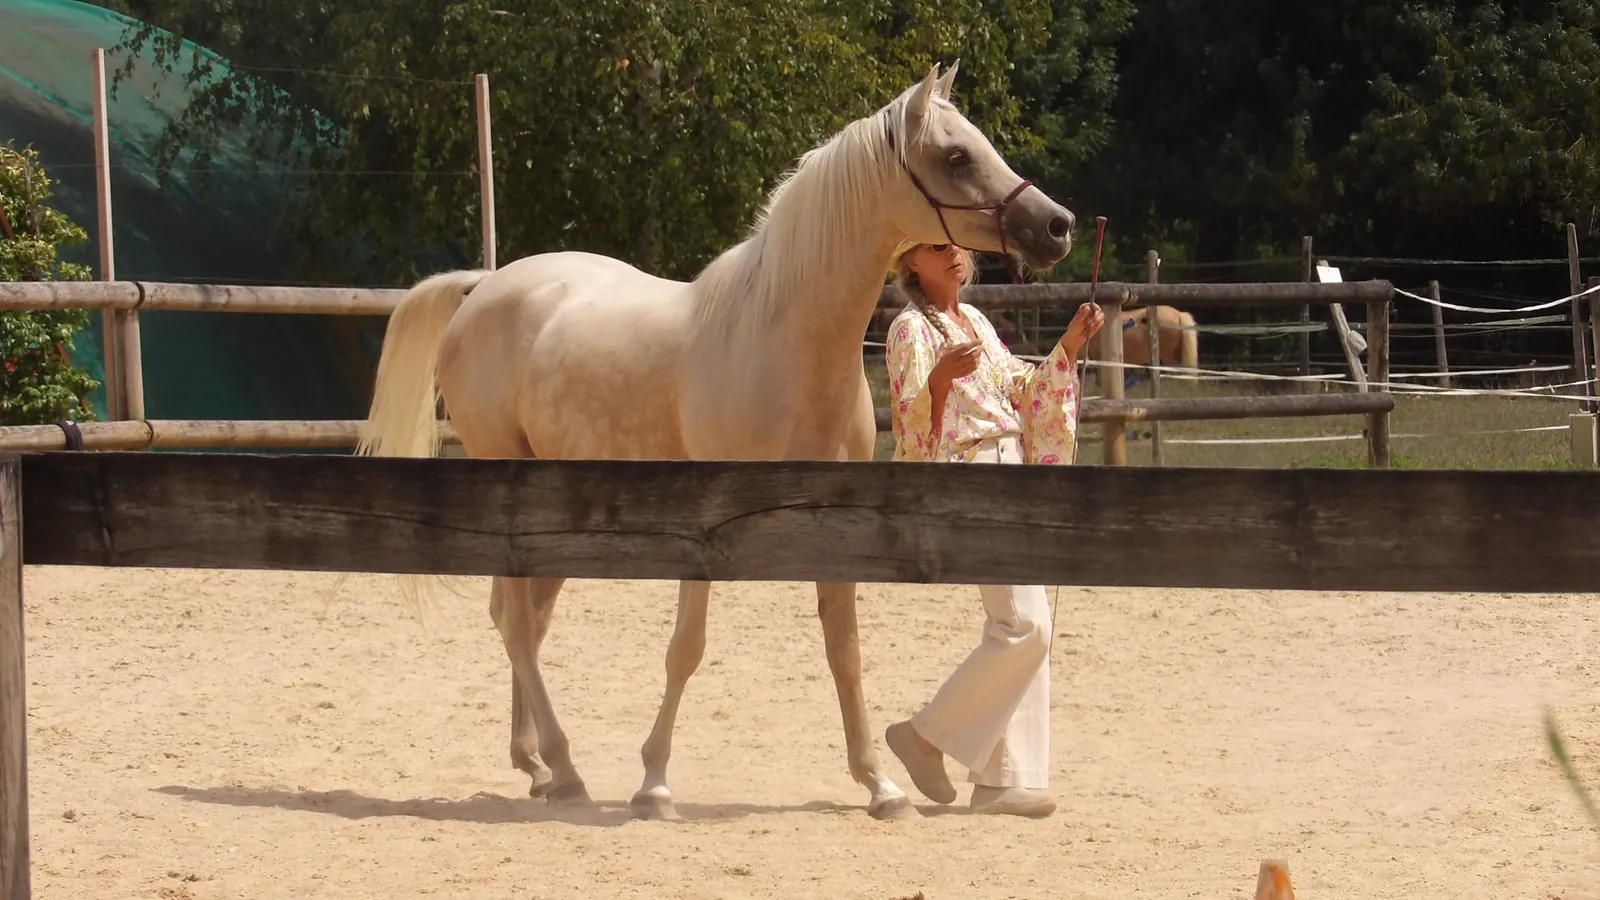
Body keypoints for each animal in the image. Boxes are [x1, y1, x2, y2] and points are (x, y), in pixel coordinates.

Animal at [354, 62, 1076, 823]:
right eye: (956, 155)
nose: (1057, 226)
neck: (780, 339)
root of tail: (485, 288)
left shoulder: (837, 526)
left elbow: (844, 651)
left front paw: (882, 787)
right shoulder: (703, 532)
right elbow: (687, 649)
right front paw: (654, 786)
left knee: (520, 618)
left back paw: (537, 767)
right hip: (511, 482)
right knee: (518, 623)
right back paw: (566, 771)